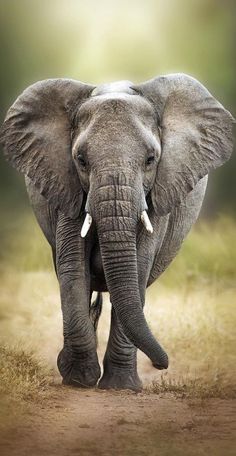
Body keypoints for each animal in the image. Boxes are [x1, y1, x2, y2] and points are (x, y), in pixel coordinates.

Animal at [0, 73, 234, 390]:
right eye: (81, 160)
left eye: (151, 159)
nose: (162, 364)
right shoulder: (67, 186)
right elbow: (73, 268)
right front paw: (79, 380)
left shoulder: (158, 193)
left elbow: (138, 266)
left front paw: (120, 387)